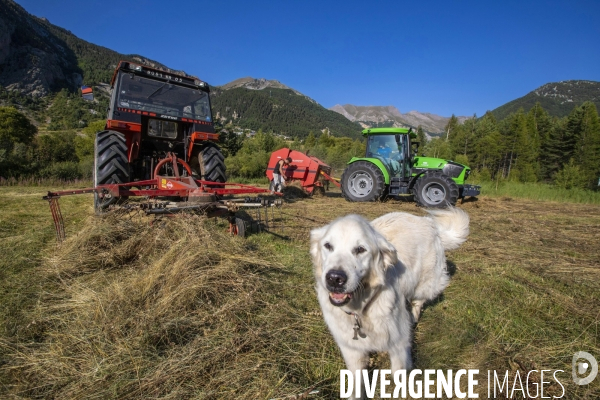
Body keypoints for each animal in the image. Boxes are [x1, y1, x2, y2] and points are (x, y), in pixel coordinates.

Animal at [312, 208, 472, 396]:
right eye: (328, 246)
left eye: (360, 249)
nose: (335, 278)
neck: (362, 310)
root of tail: (428, 222)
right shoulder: (352, 350)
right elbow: (356, 384)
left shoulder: (399, 342)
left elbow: (398, 373)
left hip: (425, 285)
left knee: (418, 301)